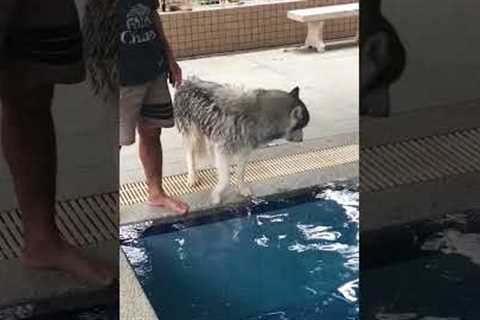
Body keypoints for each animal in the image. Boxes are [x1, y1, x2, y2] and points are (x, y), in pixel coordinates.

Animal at [174, 76, 310, 204]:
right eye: (301, 127)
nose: (302, 139)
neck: (258, 118)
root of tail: (187, 81)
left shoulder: (244, 151)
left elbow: (240, 173)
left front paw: (242, 188)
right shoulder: (223, 150)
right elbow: (226, 180)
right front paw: (217, 195)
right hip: (193, 136)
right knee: (190, 155)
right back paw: (192, 177)